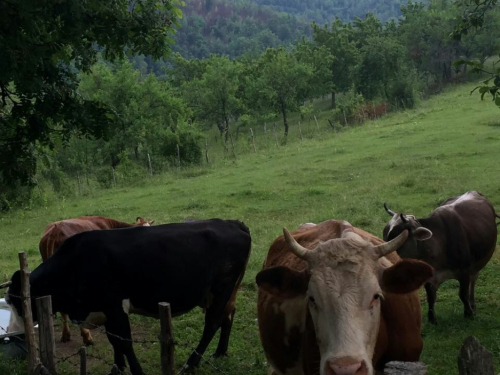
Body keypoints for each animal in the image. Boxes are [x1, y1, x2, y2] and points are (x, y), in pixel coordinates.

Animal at [382, 192, 496, 324]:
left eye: (397, 239)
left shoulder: (465, 271)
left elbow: (463, 294)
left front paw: (468, 314)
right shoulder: (429, 277)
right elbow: (431, 297)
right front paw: (432, 319)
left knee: (473, 280)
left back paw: (472, 305)